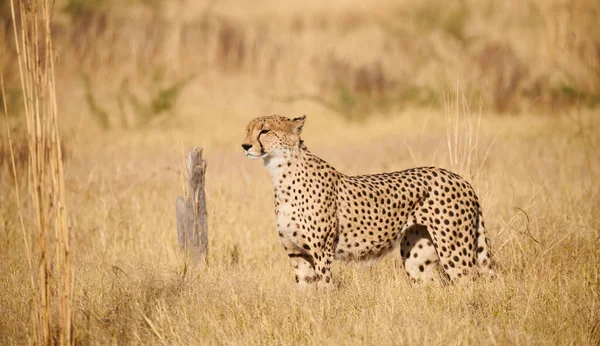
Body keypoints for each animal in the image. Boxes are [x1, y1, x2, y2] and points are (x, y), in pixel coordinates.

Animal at [241, 115, 494, 288]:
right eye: (248, 130)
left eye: (265, 131)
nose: (245, 146)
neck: (281, 173)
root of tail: (459, 178)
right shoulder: (297, 255)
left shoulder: (322, 253)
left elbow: (325, 290)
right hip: (417, 258)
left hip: (455, 252)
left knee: (471, 285)